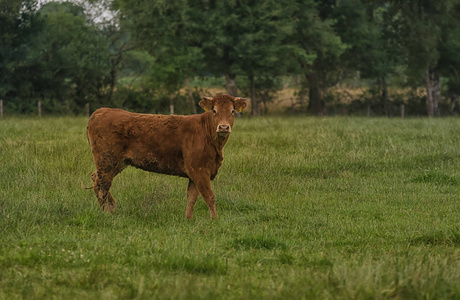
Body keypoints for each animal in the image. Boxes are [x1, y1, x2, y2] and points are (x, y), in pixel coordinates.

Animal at [85, 95, 246, 219]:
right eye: (214, 110)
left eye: (232, 111)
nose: (223, 127)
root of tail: (101, 111)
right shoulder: (199, 170)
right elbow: (209, 196)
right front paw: (215, 219)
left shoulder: (194, 173)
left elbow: (191, 198)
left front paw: (188, 219)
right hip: (107, 160)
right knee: (103, 185)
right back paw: (107, 213)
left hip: (118, 163)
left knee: (96, 178)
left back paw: (111, 208)